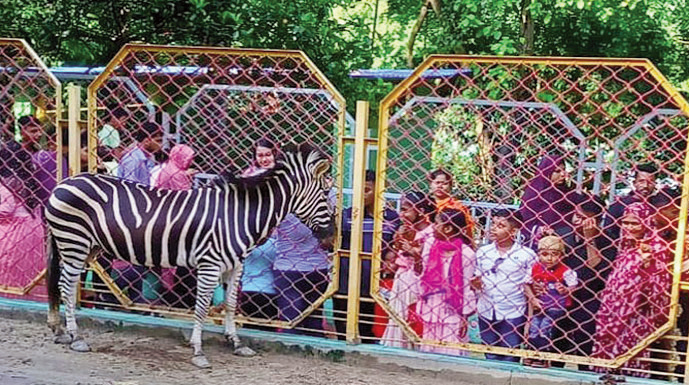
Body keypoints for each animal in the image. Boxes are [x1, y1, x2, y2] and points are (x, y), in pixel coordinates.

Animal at [43, 143, 334, 366]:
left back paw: (59, 331)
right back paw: (76, 337)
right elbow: (202, 306)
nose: (331, 238)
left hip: (83, 245)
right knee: (66, 286)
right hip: (74, 241)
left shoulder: (236, 265)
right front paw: (198, 351)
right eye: (323, 194)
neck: (240, 214)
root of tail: (64, 183)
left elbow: (231, 304)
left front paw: (236, 343)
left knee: (59, 283)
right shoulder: (209, 263)